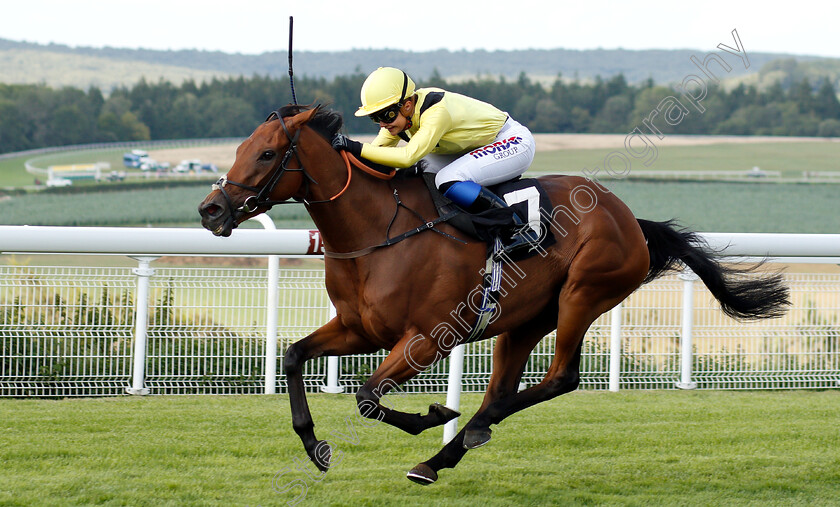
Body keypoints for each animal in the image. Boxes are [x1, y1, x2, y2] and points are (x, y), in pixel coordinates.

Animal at [197, 105, 788, 486]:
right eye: (240, 149)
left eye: (266, 153)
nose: (211, 210)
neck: (377, 232)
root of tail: (628, 218)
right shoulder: (359, 328)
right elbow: (295, 356)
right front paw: (316, 447)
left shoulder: (426, 339)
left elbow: (366, 396)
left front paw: (430, 415)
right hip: (524, 319)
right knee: (503, 390)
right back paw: (444, 455)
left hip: (583, 294)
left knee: (559, 378)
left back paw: (463, 434)